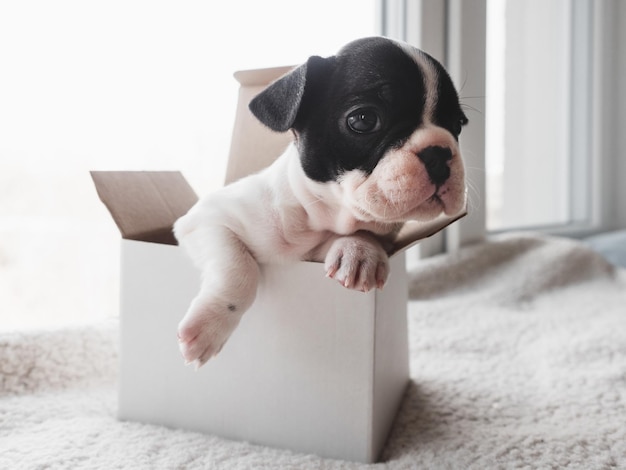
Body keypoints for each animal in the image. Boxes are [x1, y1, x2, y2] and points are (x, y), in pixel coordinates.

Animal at [173, 36, 466, 368]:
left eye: (458, 124)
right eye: (364, 119)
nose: (439, 152)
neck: (316, 219)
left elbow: (364, 232)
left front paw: (359, 252)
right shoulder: (205, 220)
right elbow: (239, 267)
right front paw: (209, 327)